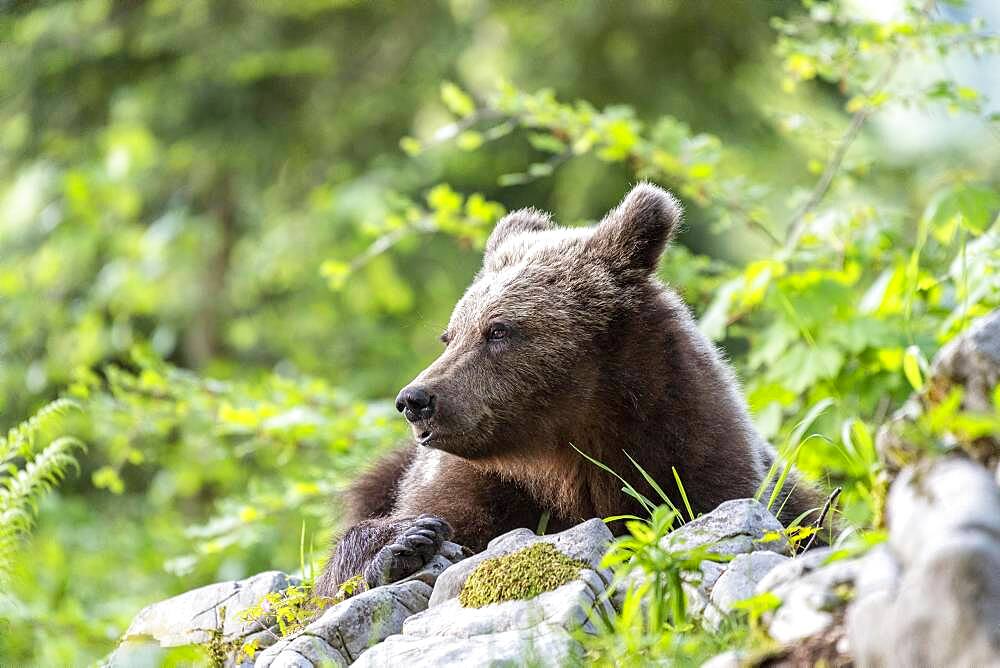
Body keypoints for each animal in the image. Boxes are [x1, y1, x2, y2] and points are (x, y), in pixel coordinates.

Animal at [316, 181, 824, 596]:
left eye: (497, 330)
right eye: (450, 334)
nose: (415, 400)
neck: (563, 454)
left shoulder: (694, 448)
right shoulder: (470, 483)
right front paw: (407, 544)